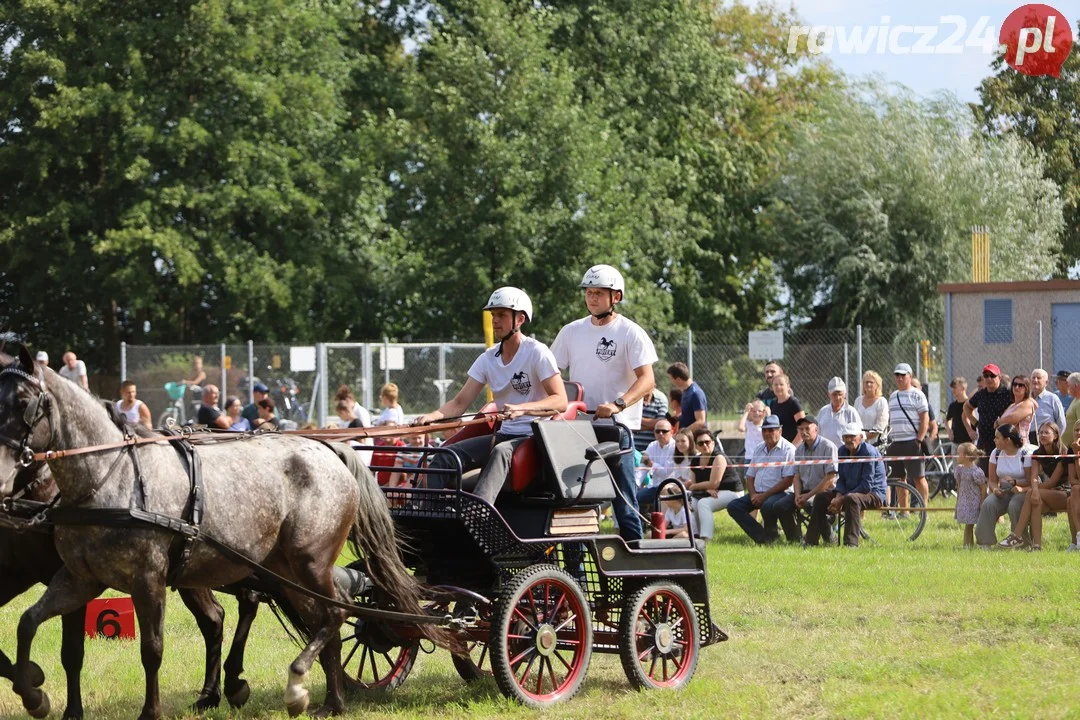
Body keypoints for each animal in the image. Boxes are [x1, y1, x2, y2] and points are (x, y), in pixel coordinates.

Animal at [1, 345, 438, 716]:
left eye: (22, 402)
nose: (3, 478)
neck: (109, 477)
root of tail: (329, 449)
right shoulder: (79, 580)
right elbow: (27, 623)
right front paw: (33, 693)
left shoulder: (148, 580)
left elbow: (151, 650)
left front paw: (149, 712)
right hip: (282, 569)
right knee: (321, 616)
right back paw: (330, 701)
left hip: (308, 562)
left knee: (333, 612)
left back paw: (297, 685)